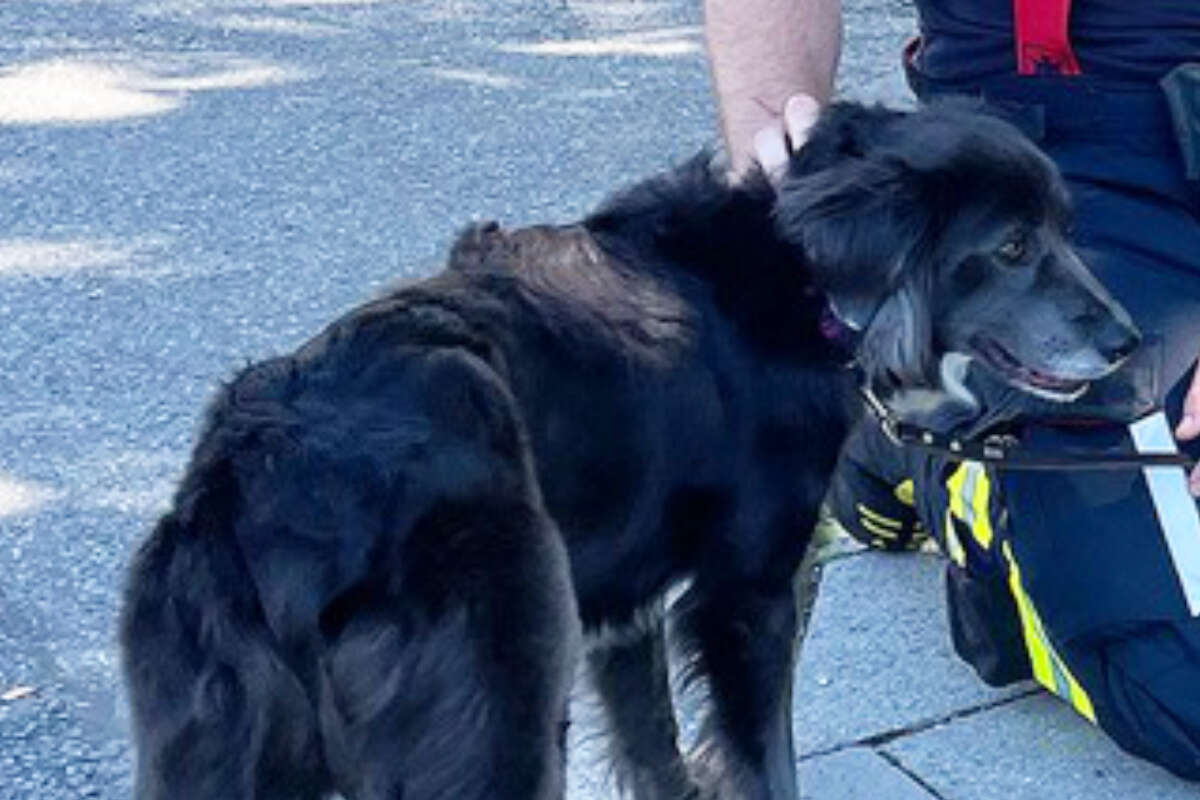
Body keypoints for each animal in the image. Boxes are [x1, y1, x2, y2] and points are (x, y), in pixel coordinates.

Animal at [124, 101, 1142, 800]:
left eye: (1065, 229)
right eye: (1011, 247)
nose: (1128, 341)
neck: (800, 279)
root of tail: (268, 484)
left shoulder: (626, 609)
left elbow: (656, 748)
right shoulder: (748, 597)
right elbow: (763, 758)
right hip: (501, 714)